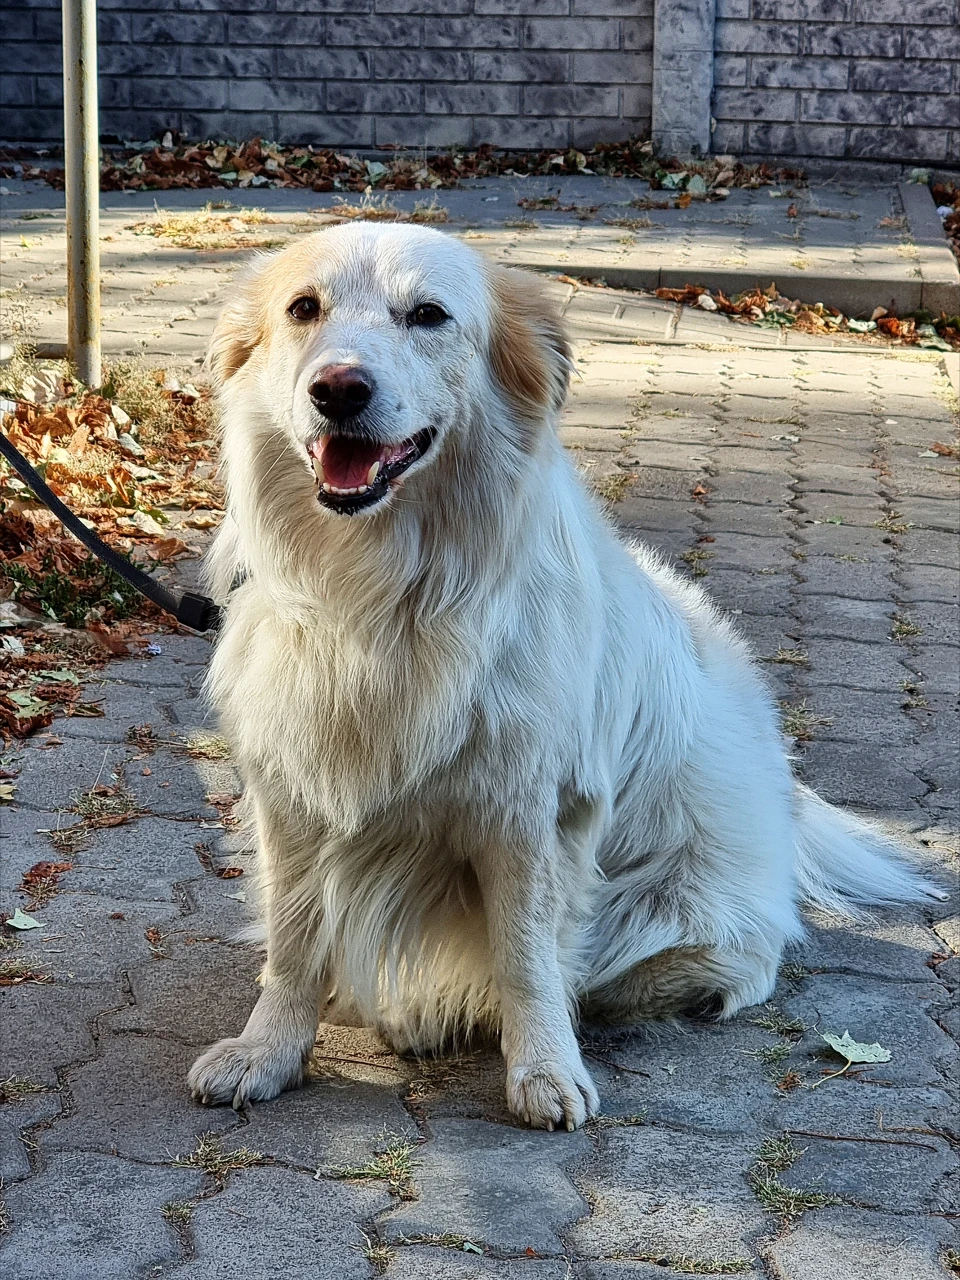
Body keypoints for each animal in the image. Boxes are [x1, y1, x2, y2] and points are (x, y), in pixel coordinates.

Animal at [189, 222, 942, 1131]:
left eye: (428, 315)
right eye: (304, 309)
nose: (337, 389)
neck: (378, 593)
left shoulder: (530, 812)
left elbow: (527, 957)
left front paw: (544, 1069)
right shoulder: (293, 794)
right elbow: (295, 943)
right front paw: (267, 1050)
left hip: (677, 908)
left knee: (701, 962)